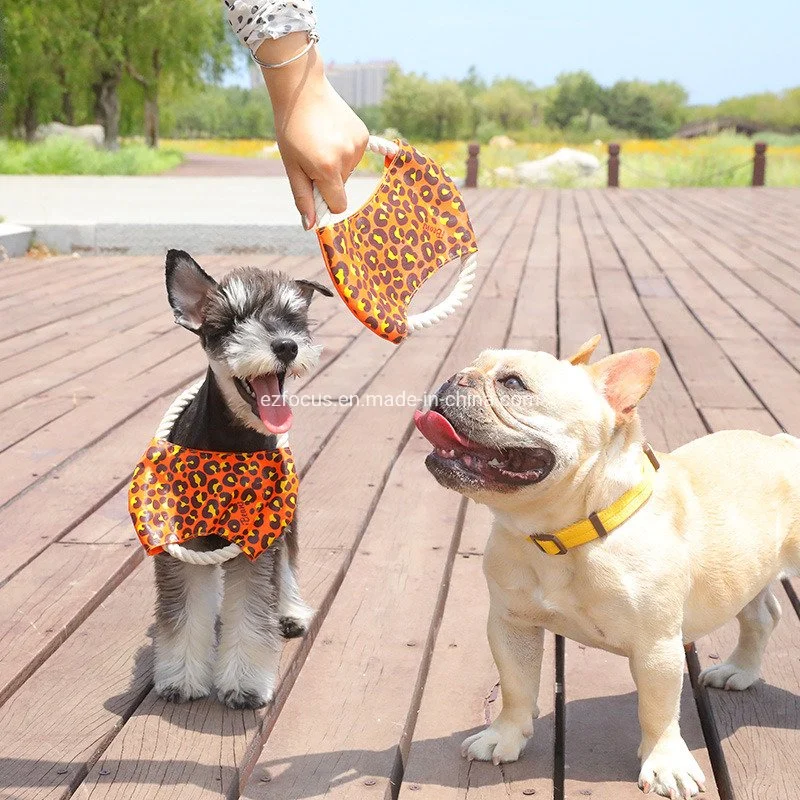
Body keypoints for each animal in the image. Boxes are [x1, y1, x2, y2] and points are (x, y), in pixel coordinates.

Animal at [153, 248, 332, 708]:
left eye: (293, 319)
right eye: (232, 321)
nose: (286, 345)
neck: (232, 443)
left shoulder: (260, 542)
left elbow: (252, 610)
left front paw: (245, 684)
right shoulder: (184, 546)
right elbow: (185, 612)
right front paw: (181, 677)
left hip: (286, 522)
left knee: (286, 566)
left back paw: (289, 611)